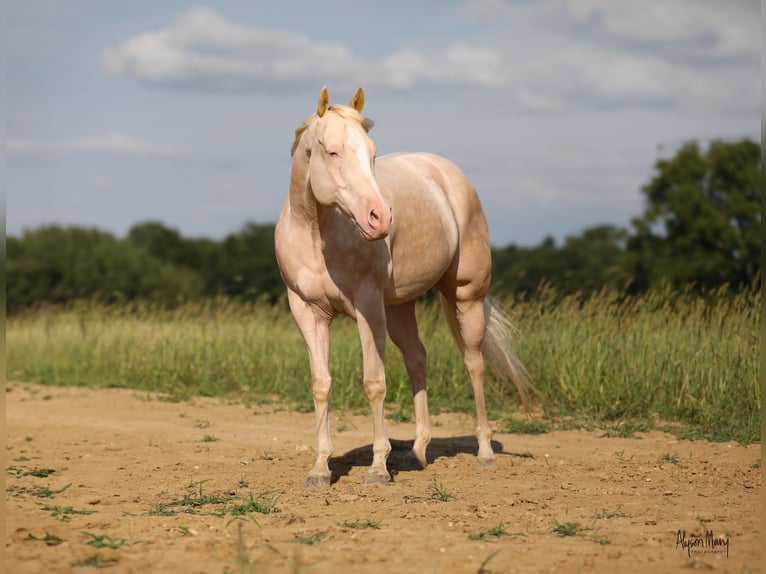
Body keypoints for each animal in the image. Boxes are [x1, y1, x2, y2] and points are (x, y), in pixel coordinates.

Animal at [276, 86, 536, 490]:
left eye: (372, 152)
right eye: (332, 151)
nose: (380, 218)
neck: (317, 233)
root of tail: (448, 173)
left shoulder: (368, 309)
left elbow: (374, 382)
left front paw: (378, 469)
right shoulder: (306, 311)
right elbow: (321, 384)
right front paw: (319, 470)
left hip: (465, 295)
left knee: (474, 363)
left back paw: (484, 453)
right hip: (399, 308)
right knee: (418, 359)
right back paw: (417, 452)